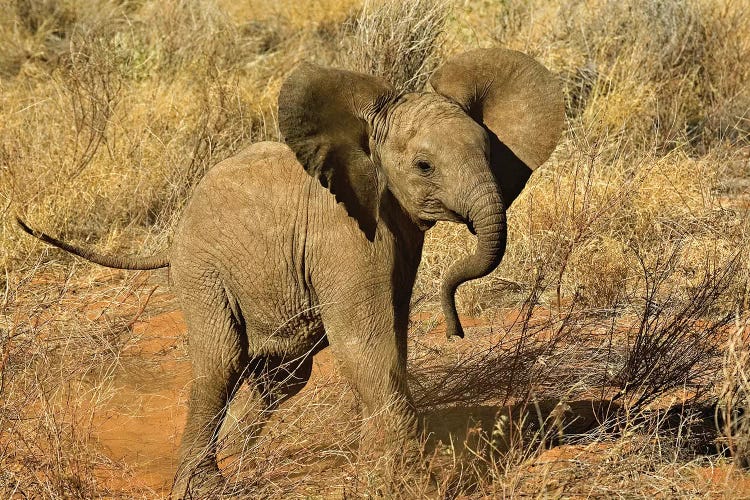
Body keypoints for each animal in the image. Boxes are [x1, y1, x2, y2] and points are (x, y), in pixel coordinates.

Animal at [16, 47, 564, 496]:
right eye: (424, 166)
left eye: (490, 153)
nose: (457, 330)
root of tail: (171, 238)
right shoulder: (345, 235)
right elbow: (365, 345)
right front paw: (407, 484)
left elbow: (391, 336)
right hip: (202, 271)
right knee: (221, 363)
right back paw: (207, 485)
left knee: (281, 378)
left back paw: (248, 461)